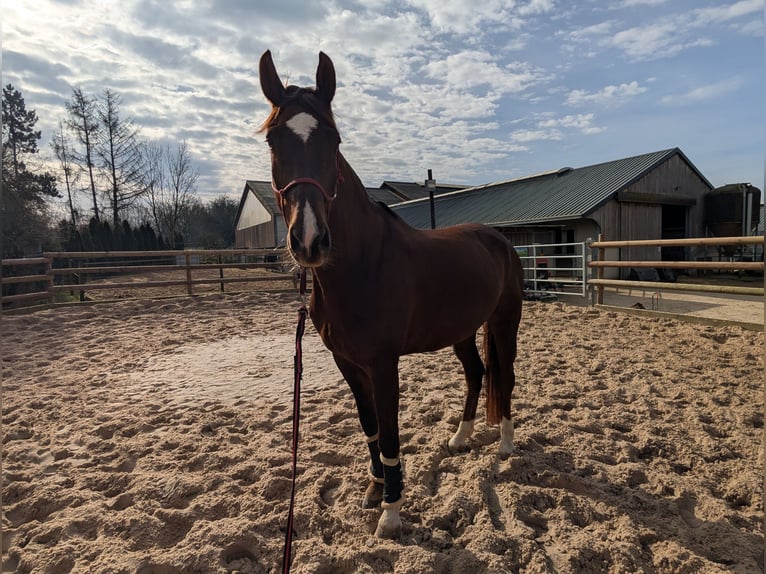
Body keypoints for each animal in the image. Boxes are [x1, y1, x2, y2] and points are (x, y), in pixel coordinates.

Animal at [260, 49, 524, 540]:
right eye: (272, 140)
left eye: (335, 139)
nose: (310, 241)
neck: (363, 264)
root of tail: (498, 239)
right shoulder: (347, 363)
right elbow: (369, 427)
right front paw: (373, 489)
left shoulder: (383, 364)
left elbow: (389, 432)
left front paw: (392, 511)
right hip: (462, 331)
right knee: (476, 373)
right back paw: (460, 439)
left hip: (504, 323)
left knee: (506, 375)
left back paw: (505, 445)